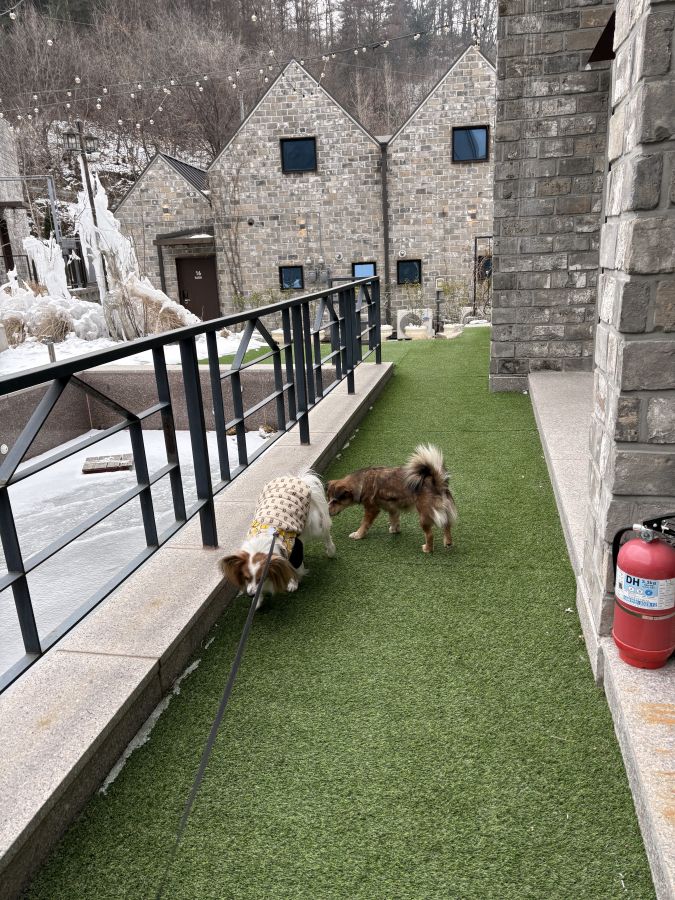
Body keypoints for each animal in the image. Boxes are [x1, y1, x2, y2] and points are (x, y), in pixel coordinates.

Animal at [221, 471, 336, 607]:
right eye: (246, 578)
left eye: (260, 579)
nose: (251, 595)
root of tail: (298, 478)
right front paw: (257, 601)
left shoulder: (295, 549)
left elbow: (295, 568)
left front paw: (293, 583)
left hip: (314, 524)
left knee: (325, 531)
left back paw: (331, 550)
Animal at [327, 444, 457, 553]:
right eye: (328, 499)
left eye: (335, 501)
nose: (327, 513)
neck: (361, 482)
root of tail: (437, 483)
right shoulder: (392, 508)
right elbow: (394, 519)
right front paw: (395, 530)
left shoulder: (371, 509)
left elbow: (364, 523)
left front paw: (358, 534)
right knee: (447, 525)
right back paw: (448, 542)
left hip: (424, 516)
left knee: (430, 535)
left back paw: (427, 549)